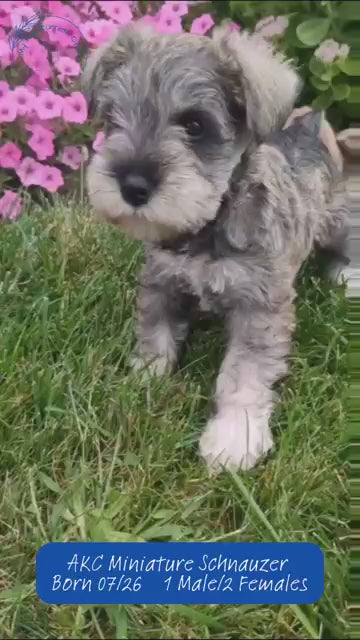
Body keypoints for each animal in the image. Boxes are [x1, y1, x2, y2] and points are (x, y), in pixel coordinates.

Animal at [82, 23, 348, 470]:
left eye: (195, 124)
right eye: (114, 118)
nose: (132, 186)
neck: (206, 229)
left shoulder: (259, 307)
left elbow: (245, 371)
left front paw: (235, 436)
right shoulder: (161, 282)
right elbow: (155, 335)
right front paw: (142, 381)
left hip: (338, 217)